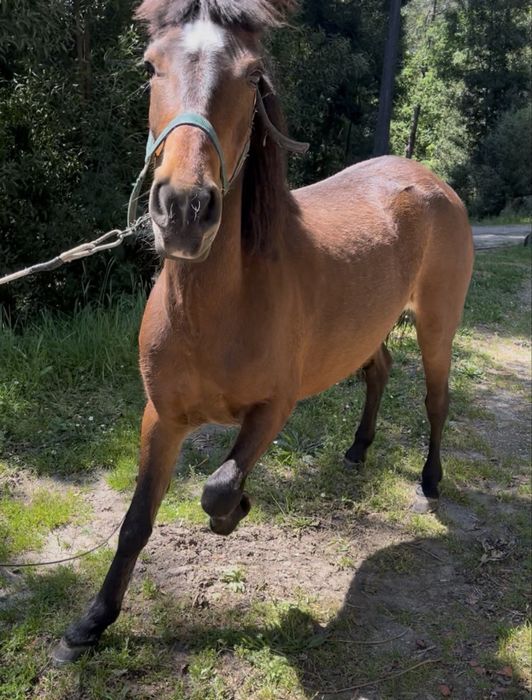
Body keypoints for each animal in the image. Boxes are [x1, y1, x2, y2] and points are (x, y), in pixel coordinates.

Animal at [53, 0, 474, 664]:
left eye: (252, 76)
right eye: (149, 66)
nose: (184, 209)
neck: (217, 309)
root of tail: (430, 179)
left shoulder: (275, 408)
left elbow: (219, 487)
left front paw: (238, 508)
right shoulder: (161, 417)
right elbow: (137, 519)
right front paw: (91, 624)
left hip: (437, 327)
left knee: (436, 400)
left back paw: (430, 481)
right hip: (370, 328)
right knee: (379, 371)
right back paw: (357, 450)